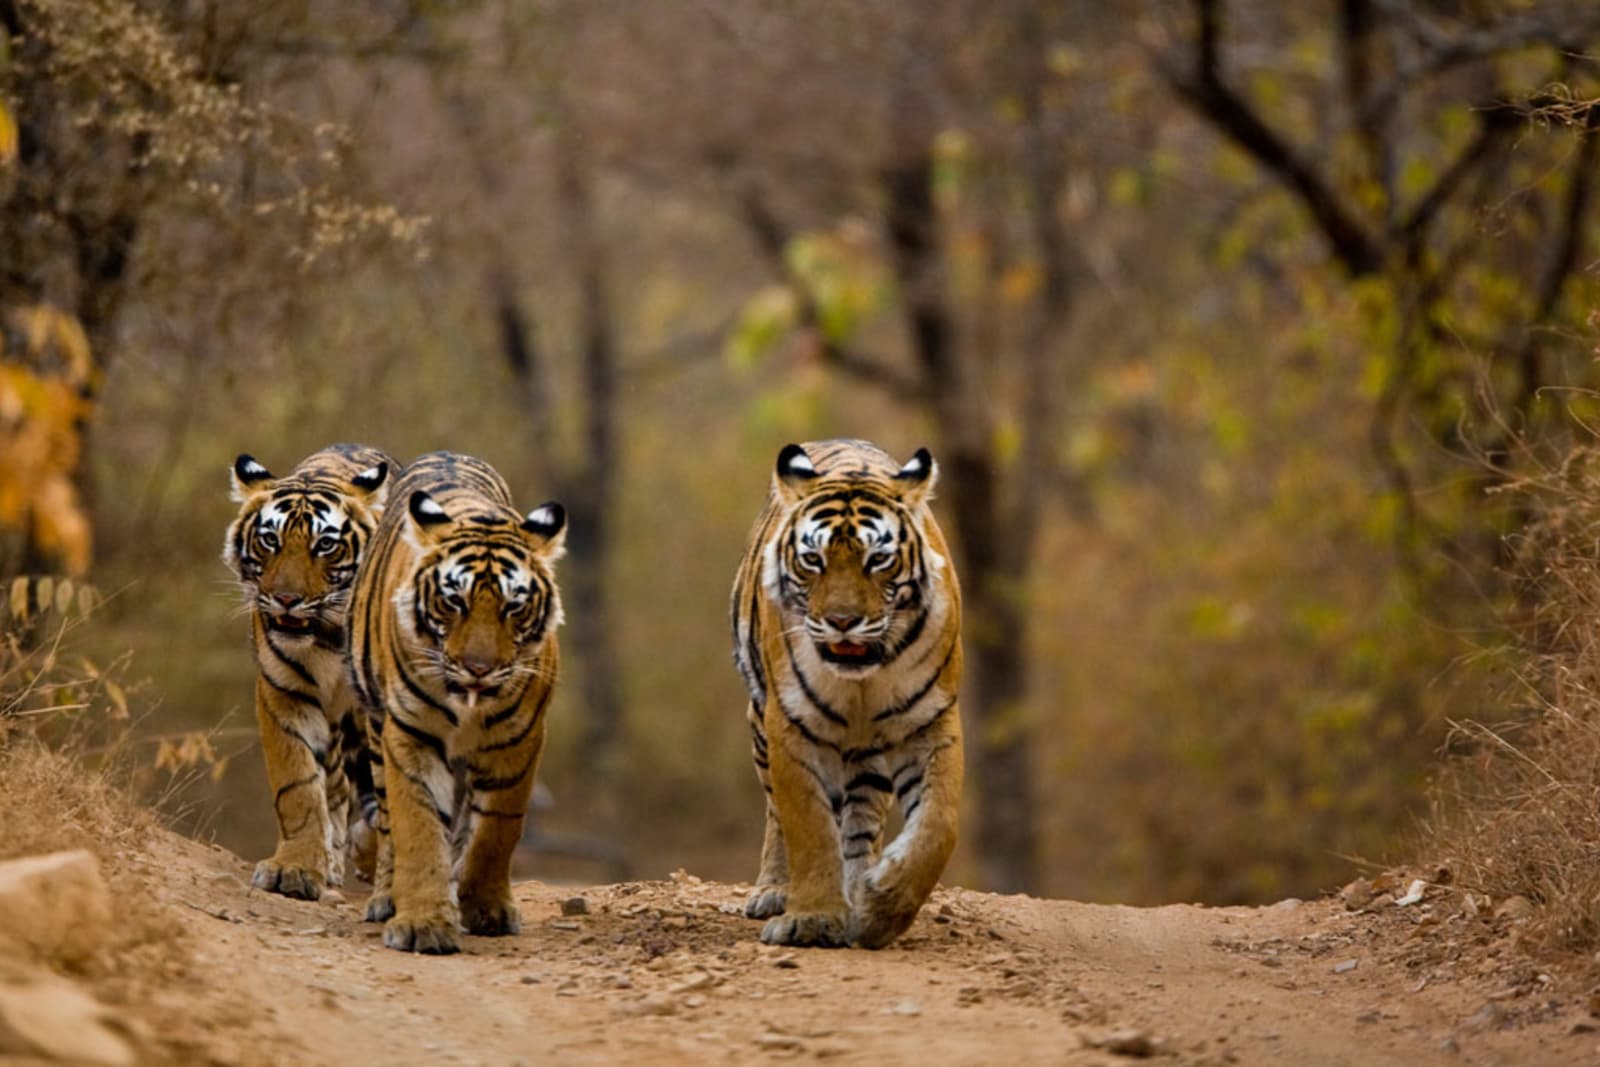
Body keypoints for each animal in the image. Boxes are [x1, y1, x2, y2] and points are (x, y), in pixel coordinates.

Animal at [223, 443, 393, 901]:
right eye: (270, 540)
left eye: (325, 545)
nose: (286, 599)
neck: (328, 633)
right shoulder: (285, 695)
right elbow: (298, 786)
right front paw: (296, 869)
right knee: (335, 787)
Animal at [347, 451, 566, 955]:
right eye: (453, 602)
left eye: (513, 607)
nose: (478, 667)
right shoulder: (410, 732)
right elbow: (418, 824)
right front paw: (423, 923)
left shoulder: (519, 739)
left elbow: (497, 830)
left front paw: (486, 909)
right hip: (375, 730)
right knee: (387, 820)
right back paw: (387, 897)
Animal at [730, 438, 964, 948]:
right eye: (812, 560)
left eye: (877, 559)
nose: (842, 621)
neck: (863, 679)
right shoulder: (791, 724)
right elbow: (809, 826)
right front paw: (811, 918)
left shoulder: (932, 722)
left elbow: (937, 825)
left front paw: (881, 910)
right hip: (759, 724)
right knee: (777, 813)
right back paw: (776, 890)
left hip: (867, 754)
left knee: (861, 823)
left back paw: (859, 889)